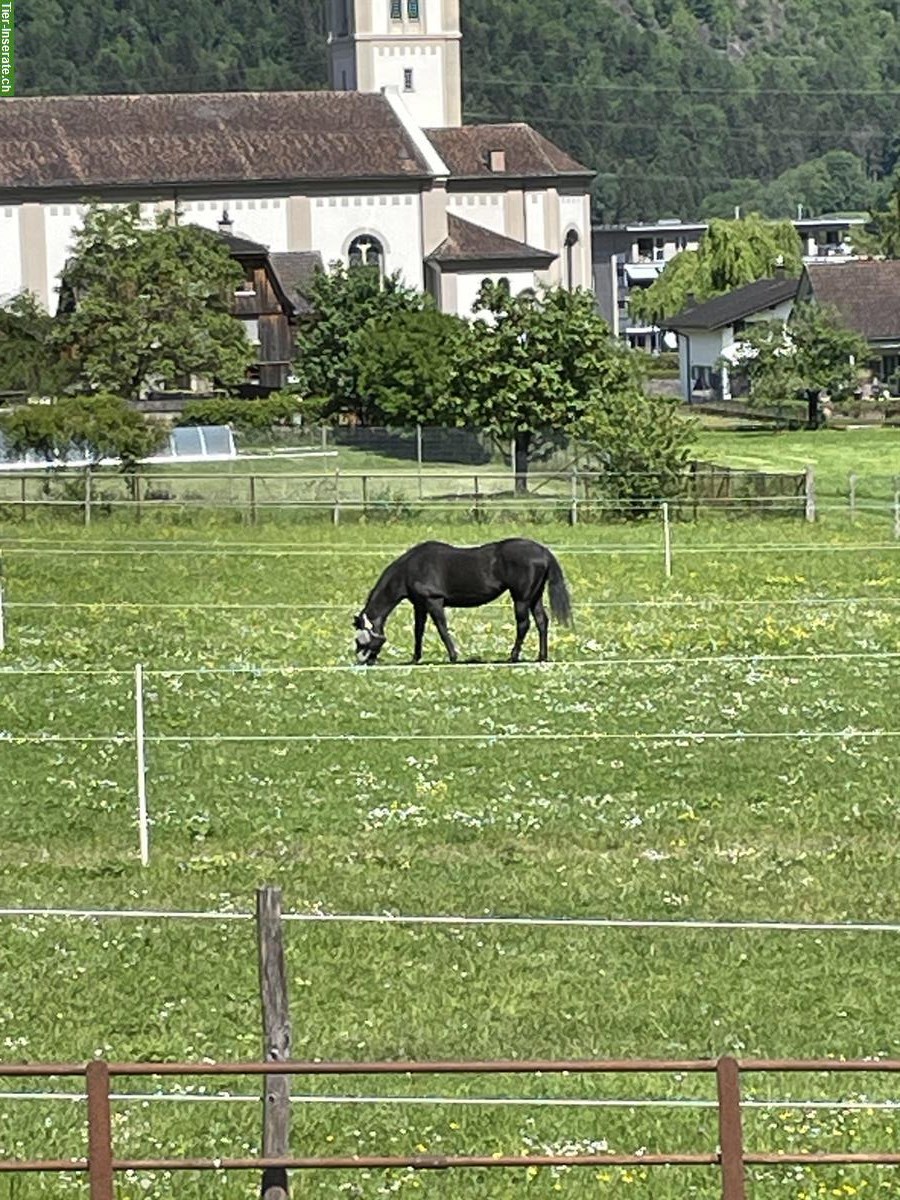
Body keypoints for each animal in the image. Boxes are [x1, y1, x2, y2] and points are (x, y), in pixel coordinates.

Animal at [353, 537, 572, 666]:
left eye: (359, 640)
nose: (362, 661)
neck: (410, 568)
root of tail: (543, 551)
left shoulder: (434, 602)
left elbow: (442, 629)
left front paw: (453, 656)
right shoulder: (420, 605)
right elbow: (418, 632)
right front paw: (415, 658)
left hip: (521, 598)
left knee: (523, 624)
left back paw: (513, 656)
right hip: (534, 597)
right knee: (542, 621)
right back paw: (541, 656)